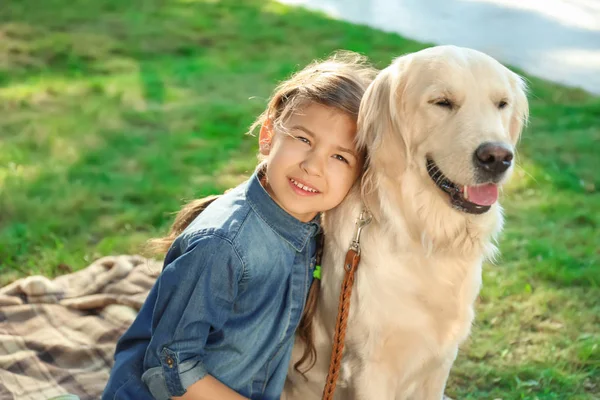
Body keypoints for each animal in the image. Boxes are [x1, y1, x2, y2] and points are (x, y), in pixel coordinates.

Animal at [284, 46, 528, 400]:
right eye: (442, 102)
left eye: (501, 103)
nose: (497, 157)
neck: (424, 234)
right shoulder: (371, 368)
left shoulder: (440, 361)